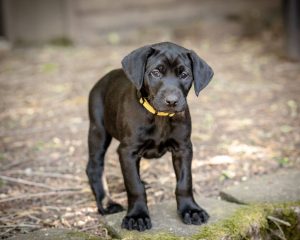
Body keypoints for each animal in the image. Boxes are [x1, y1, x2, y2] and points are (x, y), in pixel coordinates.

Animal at [86, 42, 213, 232]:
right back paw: (107, 204)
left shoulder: (183, 148)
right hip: (98, 130)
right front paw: (137, 215)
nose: (172, 101)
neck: (159, 116)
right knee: (94, 167)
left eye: (184, 75)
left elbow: (185, 182)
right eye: (156, 72)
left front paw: (191, 210)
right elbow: (134, 185)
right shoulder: (128, 151)